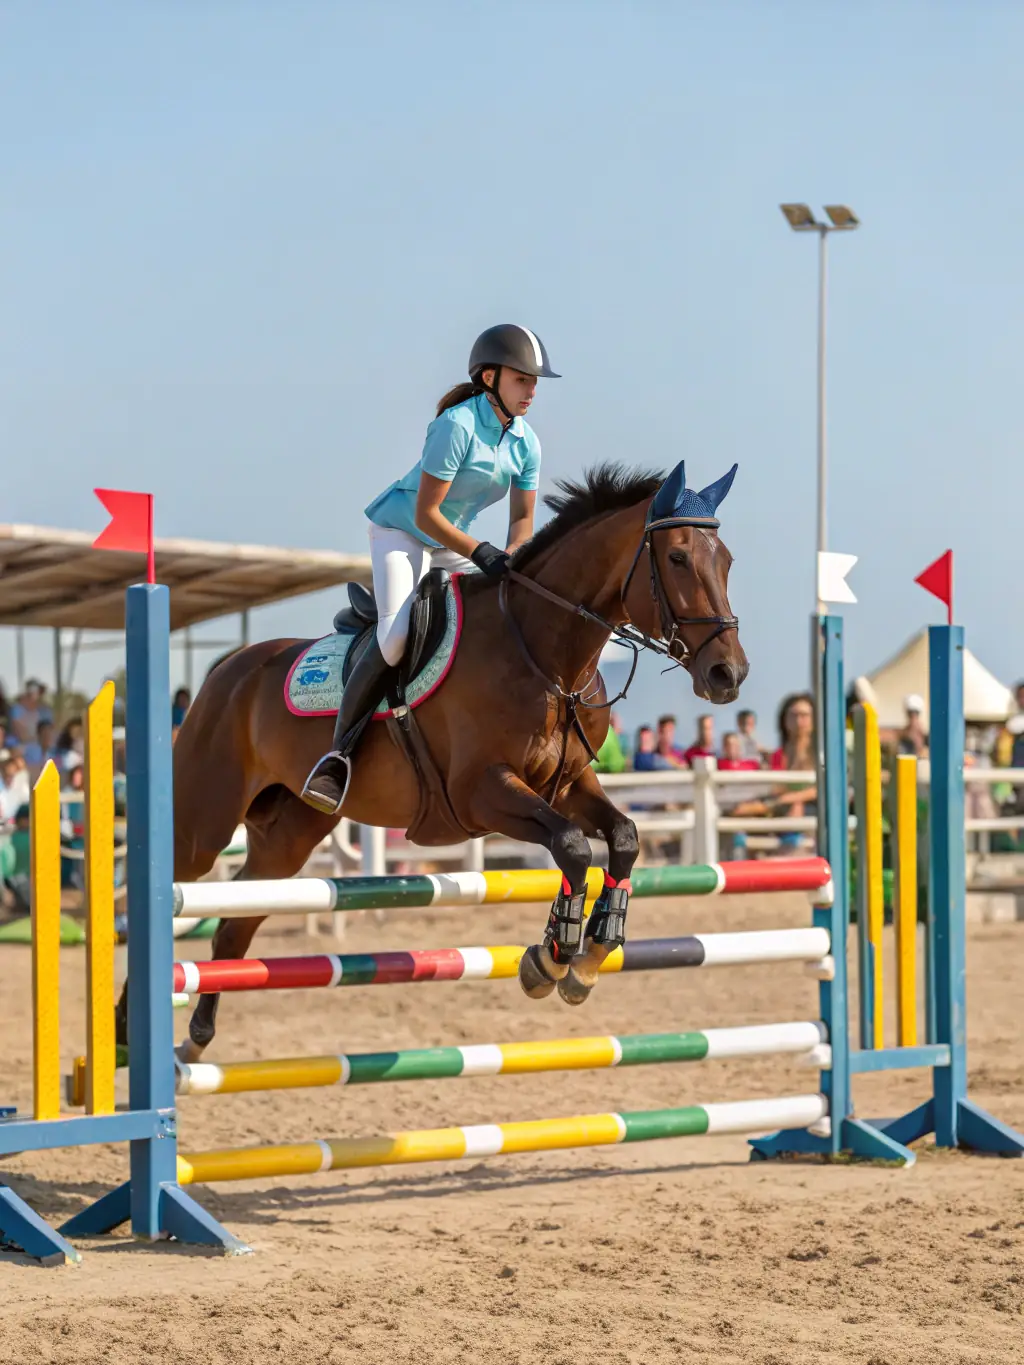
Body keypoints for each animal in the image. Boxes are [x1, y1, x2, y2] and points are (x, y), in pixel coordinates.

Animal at [116, 459, 748, 1061]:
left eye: (727, 561)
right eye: (676, 557)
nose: (729, 674)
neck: (547, 656)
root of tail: (227, 668)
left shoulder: (568, 785)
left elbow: (624, 837)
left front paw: (589, 957)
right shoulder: (481, 792)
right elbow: (570, 846)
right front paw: (548, 960)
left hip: (288, 835)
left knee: (235, 923)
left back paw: (196, 1036)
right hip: (203, 824)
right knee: (165, 890)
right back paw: (125, 1028)